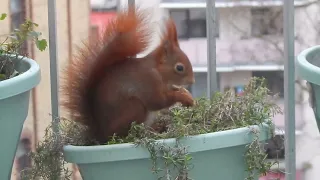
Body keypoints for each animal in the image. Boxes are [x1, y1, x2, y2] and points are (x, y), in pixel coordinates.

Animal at [60, 5, 195, 143]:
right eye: (179, 68)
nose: (192, 81)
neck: (158, 70)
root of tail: (99, 133)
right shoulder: (148, 81)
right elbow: (157, 100)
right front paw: (183, 96)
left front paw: (186, 94)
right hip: (134, 109)